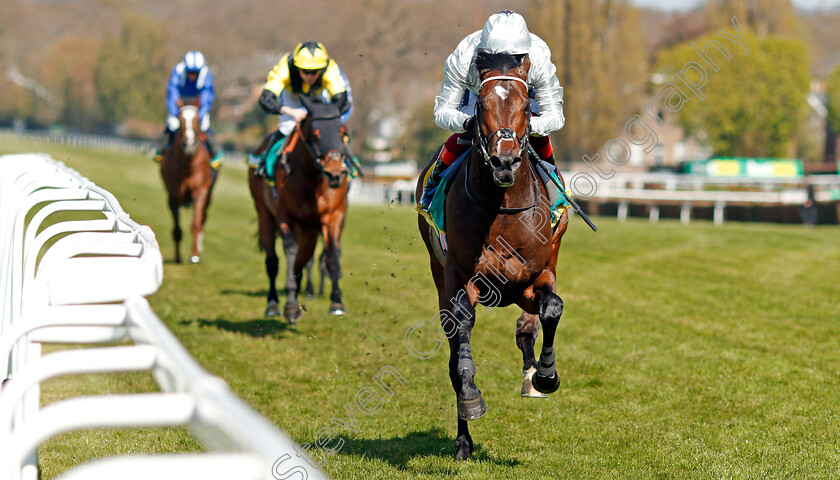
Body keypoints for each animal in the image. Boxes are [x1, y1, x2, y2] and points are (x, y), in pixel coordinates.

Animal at [159, 102, 215, 264]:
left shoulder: (201, 192)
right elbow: (177, 229)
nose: (189, 145)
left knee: (203, 219)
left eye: (196, 120)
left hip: (209, 195)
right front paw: (178, 257)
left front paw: (195, 254)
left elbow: (196, 223)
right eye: (180, 118)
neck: (188, 163)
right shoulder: (173, 196)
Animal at [248, 94, 350, 322]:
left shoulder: (333, 216)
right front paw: (291, 306)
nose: (335, 175)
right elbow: (290, 251)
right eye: (316, 134)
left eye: (343, 133)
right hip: (265, 214)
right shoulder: (286, 216)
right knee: (272, 261)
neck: (312, 176)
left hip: (309, 230)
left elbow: (332, 255)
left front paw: (337, 302)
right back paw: (273, 304)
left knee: (306, 259)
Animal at [416, 50, 572, 460]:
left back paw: (531, 375)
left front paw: (545, 375)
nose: (504, 161)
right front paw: (470, 397)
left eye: (526, 106)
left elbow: (551, 309)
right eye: (482, 105)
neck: (502, 210)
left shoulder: (537, 275)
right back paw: (463, 439)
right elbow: (462, 338)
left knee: (529, 326)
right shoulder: (460, 278)